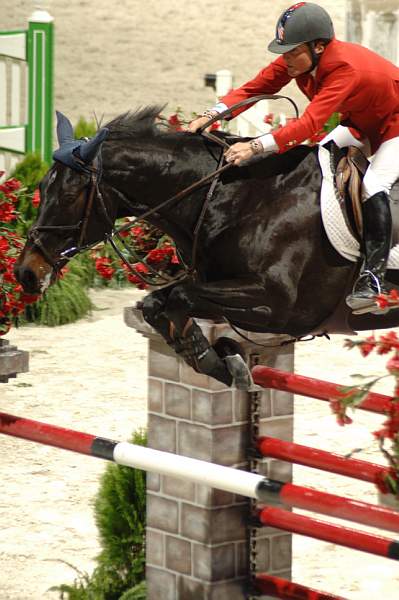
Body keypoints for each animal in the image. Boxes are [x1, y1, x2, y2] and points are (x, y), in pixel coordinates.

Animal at [14, 108, 399, 390]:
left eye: (68, 196)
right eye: (42, 187)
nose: (25, 273)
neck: (234, 196)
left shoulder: (277, 305)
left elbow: (180, 298)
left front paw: (222, 361)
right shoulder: (214, 285)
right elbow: (157, 304)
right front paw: (219, 361)